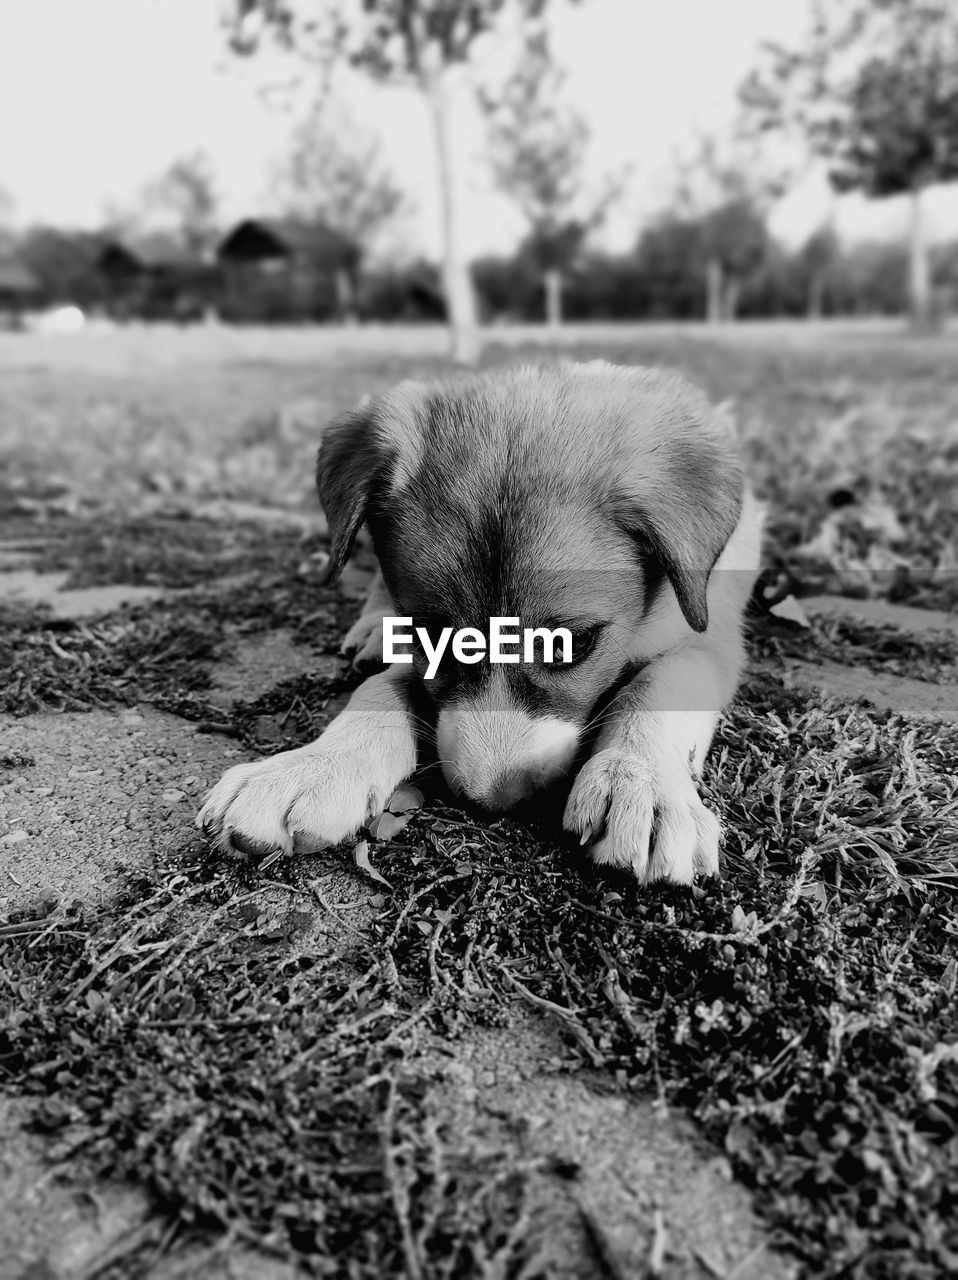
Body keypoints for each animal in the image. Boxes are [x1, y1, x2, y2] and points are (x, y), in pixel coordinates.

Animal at [195, 360, 763, 880]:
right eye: (431, 634)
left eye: (571, 644)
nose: (491, 801)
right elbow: (380, 688)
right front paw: (311, 767)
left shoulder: (705, 638)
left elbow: (658, 689)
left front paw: (640, 783)